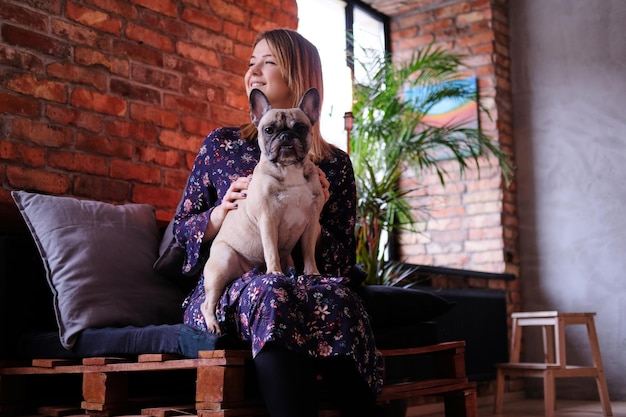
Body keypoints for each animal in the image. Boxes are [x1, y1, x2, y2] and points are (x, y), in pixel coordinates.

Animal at [200, 88, 324, 334]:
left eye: (300, 128)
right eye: (269, 130)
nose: (285, 136)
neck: (288, 168)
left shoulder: (311, 223)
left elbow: (308, 251)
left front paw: (311, 273)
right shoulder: (268, 219)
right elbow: (271, 250)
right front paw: (275, 272)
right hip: (223, 262)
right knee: (206, 303)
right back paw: (213, 324)